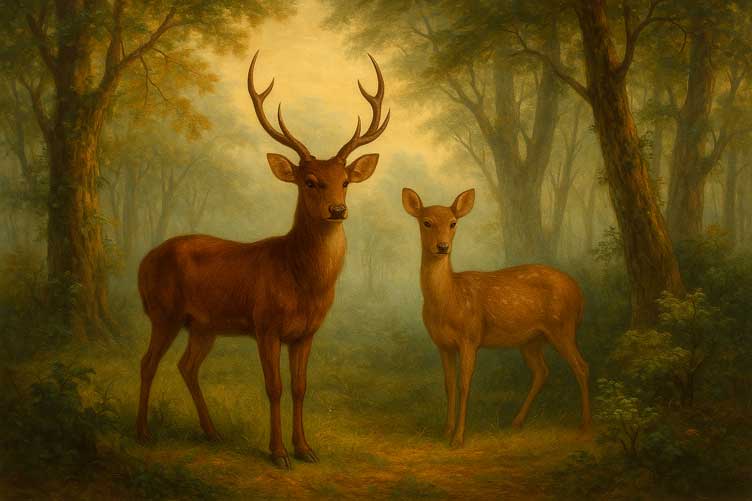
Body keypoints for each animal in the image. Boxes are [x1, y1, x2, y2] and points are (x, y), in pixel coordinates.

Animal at [136, 51, 389, 469]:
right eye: (310, 181)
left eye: (346, 181)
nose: (338, 209)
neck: (301, 281)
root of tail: (143, 261)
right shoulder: (265, 324)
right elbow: (274, 387)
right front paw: (278, 453)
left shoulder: (306, 333)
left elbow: (301, 387)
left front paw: (306, 449)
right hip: (163, 312)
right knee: (147, 362)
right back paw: (143, 432)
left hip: (203, 325)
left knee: (186, 366)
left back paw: (212, 432)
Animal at [401, 188, 590, 448]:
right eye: (426, 222)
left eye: (453, 223)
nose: (442, 246)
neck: (450, 299)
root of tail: (579, 293)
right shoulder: (443, 344)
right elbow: (448, 385)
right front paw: (445, 432)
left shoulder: (470, 337)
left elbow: (464, 384)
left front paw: (458, 438)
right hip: (531, 340)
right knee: (542, 371)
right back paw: (517, 422)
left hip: (562, 326)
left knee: (581, 366)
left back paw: (584, 426)